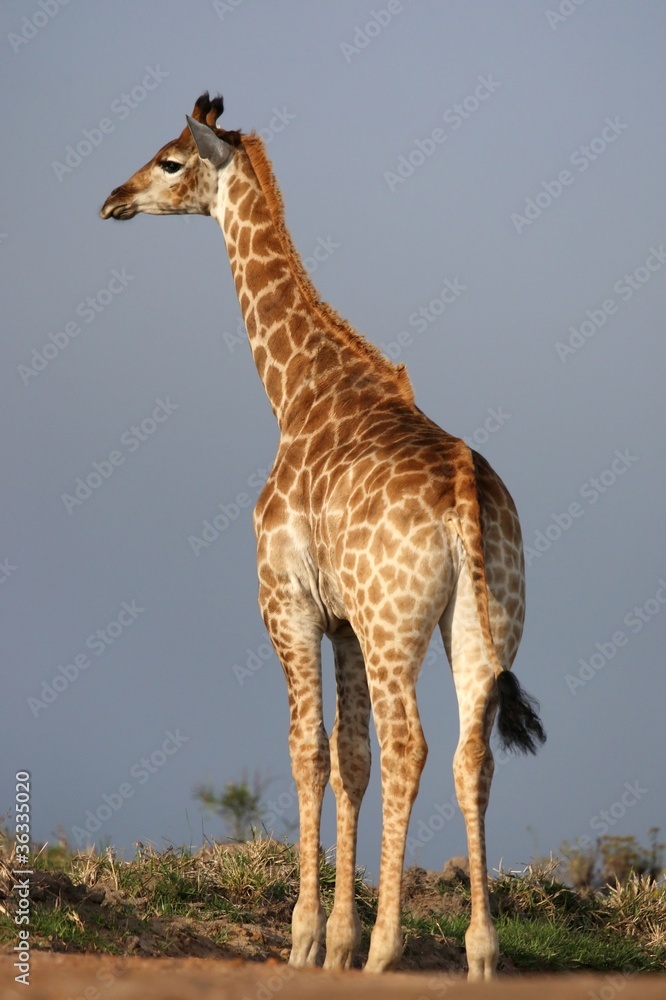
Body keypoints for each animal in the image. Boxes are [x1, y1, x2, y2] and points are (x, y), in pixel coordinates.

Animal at [100, 93, 545, 980]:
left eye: (171, 161)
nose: (114, 200)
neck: (297, 390)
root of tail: (464, 491)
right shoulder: (341, 622)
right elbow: (351, 758)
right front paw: (338, 938)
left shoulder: (289, 604)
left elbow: (308, 750)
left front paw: (310, 939)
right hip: (480, 623)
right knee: (468, 756)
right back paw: (480, 953)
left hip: (393, 624)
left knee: (413, 745)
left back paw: (389, 949)